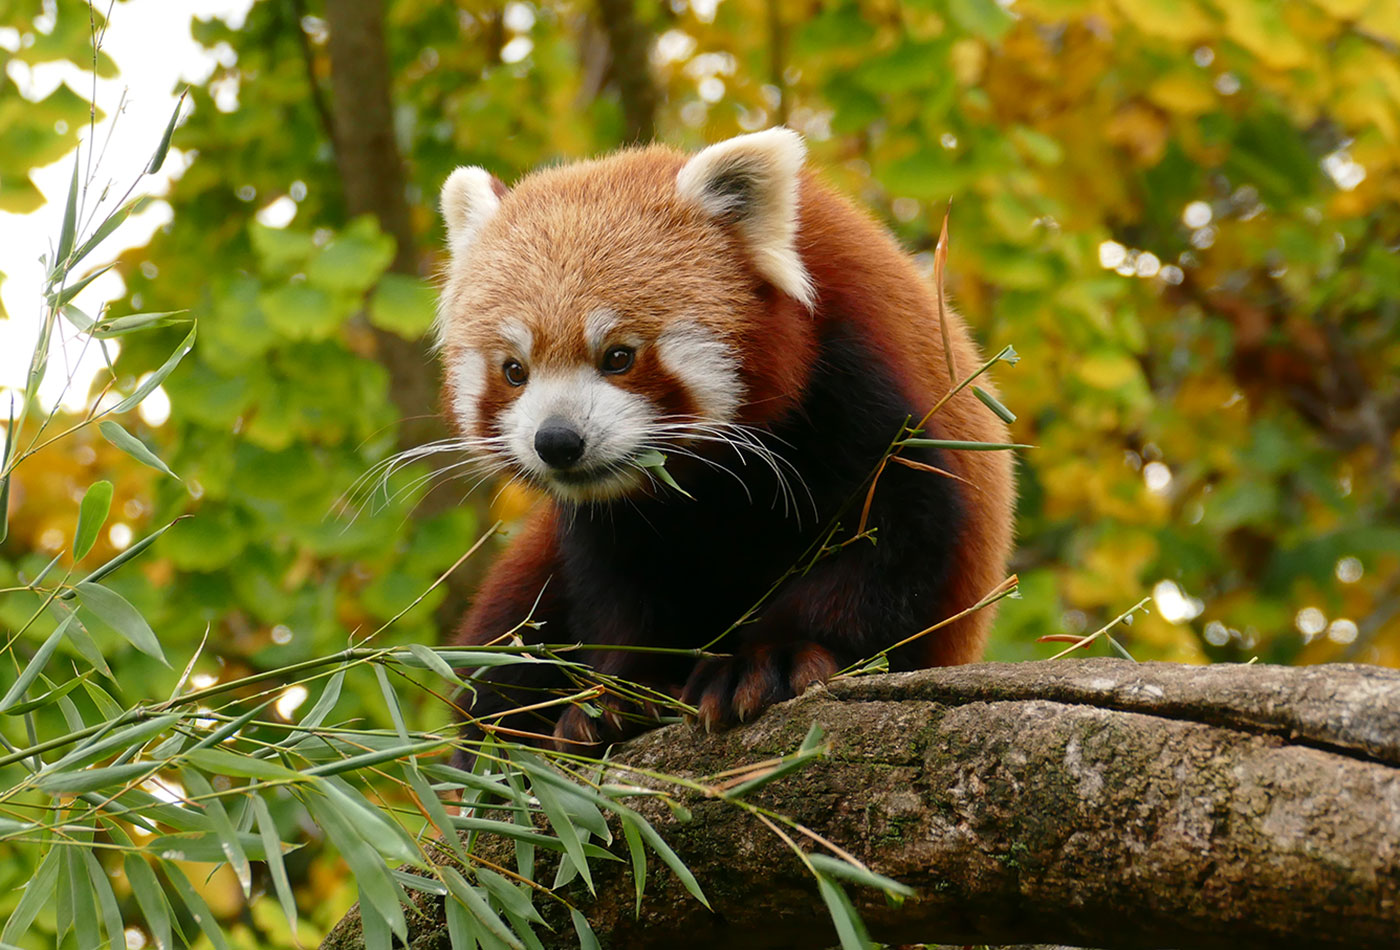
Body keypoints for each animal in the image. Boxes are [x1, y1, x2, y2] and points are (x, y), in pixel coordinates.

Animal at [431, 128, 1013, 749]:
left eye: (619, 356)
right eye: (514, 371)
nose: (557, 441)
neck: (705, 483)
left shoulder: (853, 378)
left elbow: (894, 535)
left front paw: (767, 661)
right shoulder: (606, 525)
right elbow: (616, 591)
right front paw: (619, 696)